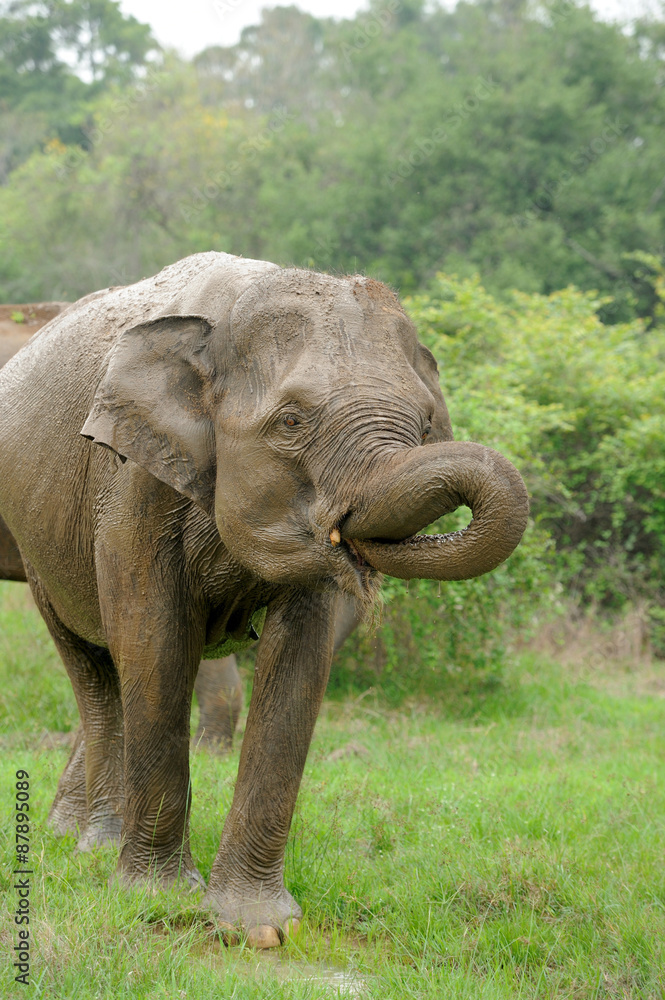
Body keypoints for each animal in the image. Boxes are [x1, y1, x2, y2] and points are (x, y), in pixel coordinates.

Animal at [0, 252, 528, 948]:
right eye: (292, 422)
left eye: (423, 425)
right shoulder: (135, 478)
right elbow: (156, 641)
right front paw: (160, 901)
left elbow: (300, 659)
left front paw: (258, 930)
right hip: (39, 540)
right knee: (93, 664)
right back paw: (91, 847)